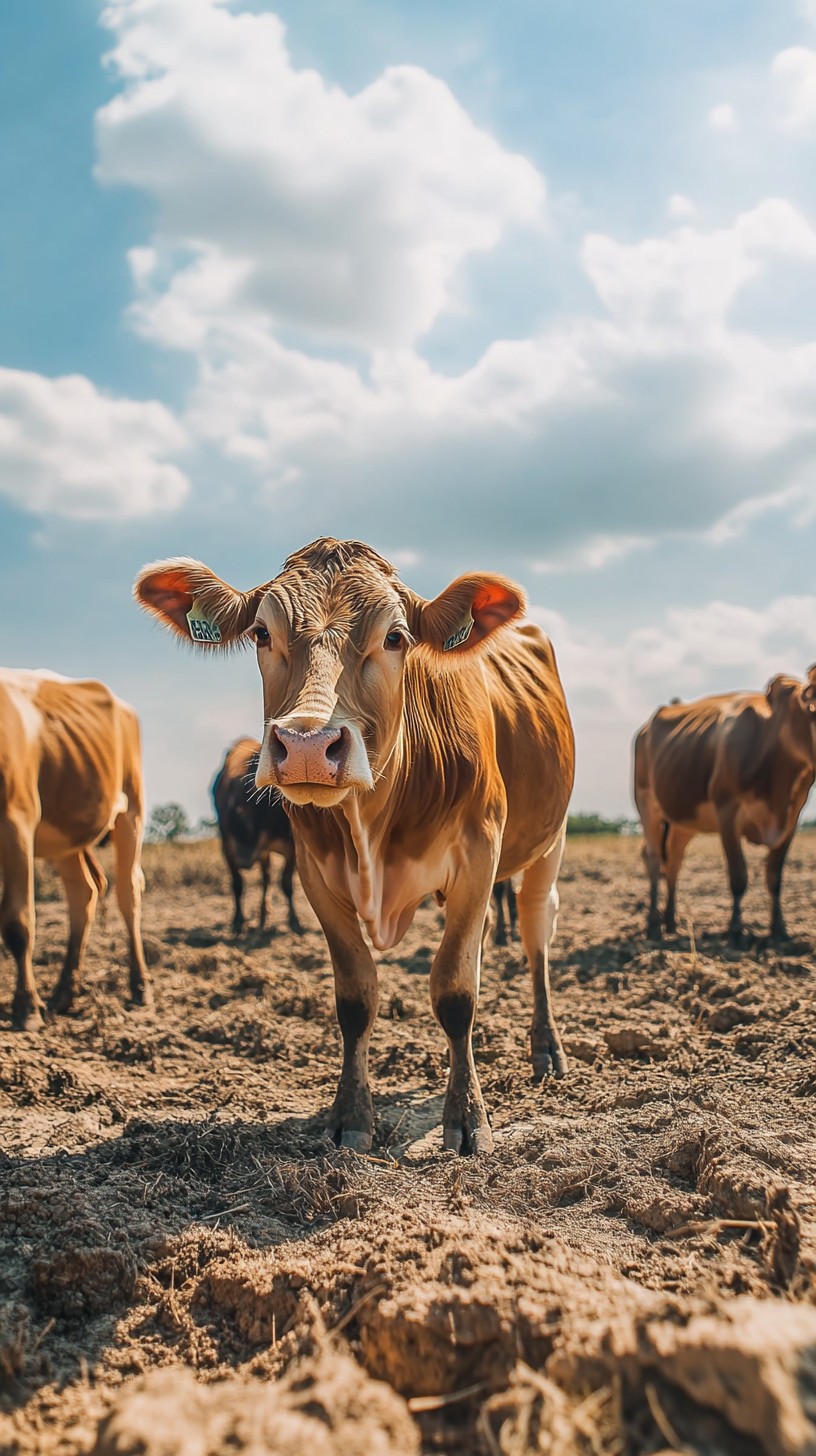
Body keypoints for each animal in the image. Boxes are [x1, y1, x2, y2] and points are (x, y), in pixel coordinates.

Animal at [0, 670, 152, 1030]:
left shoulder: (16, 819)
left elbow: (17, 921)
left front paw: (26, 1007)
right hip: (66, 830)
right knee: (83, 892)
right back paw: (64, 993)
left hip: (131, 808)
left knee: (128, 892)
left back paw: (140, 987)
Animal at [212, 736, 302, 936]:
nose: (244, 861)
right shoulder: (227, 845)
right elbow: (237, 884)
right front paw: (238, 921)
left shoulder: (290, 847)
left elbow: (286, 883)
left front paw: (294, 920)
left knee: (267, 879)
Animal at [634, 667, 816, 944]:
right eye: (813, 710)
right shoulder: (727, 810)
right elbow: (738, 875)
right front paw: (735, 930)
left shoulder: (791, 817)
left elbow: (775, 876)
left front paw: (779, 930)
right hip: (647, 804)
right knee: (654, 858)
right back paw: (654, 925)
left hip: (682, 819)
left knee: (673, 859)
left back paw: (671, 922)